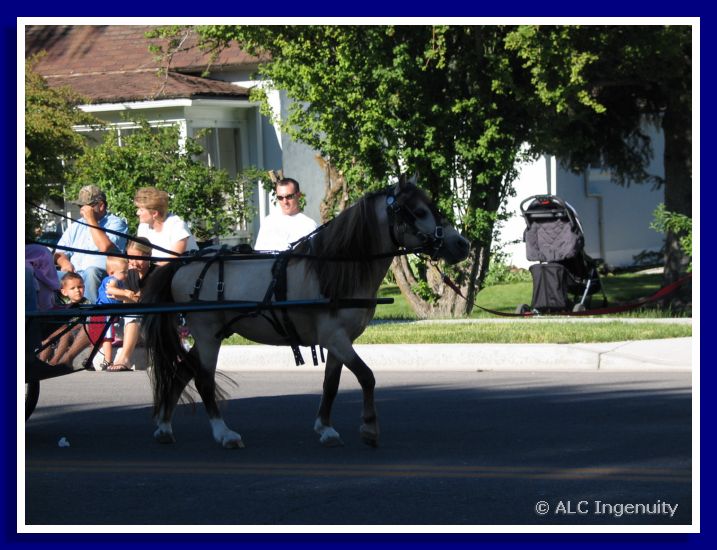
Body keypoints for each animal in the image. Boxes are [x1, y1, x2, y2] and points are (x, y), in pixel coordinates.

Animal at [140, 179, 470, 449]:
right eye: (419, 211)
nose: (462, 244)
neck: (334, 270)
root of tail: (183, 264)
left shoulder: (339, 342)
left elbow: (331, 385)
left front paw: (325, 428)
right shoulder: (335, 338)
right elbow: (367, 376)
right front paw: (369, 428)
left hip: (214, 333)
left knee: (183, 372)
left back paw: (164, 427)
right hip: (208, 335)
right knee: (203, 380)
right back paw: (224, 434)